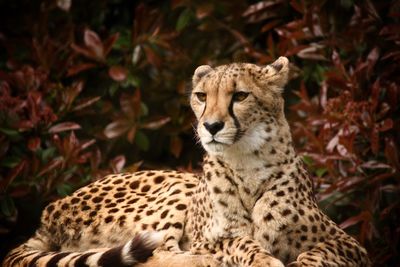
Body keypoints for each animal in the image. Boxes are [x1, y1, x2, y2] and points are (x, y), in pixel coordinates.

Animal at [3, 56, 372, 266]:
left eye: (240, 95)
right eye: (201, 96)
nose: (211, 126)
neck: (247, 159)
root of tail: (48, 214)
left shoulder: (348, 243)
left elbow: (318, 253)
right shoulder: (209, 237)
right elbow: (237, 243)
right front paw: (259, 260)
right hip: (174, 186)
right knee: (157, 253)